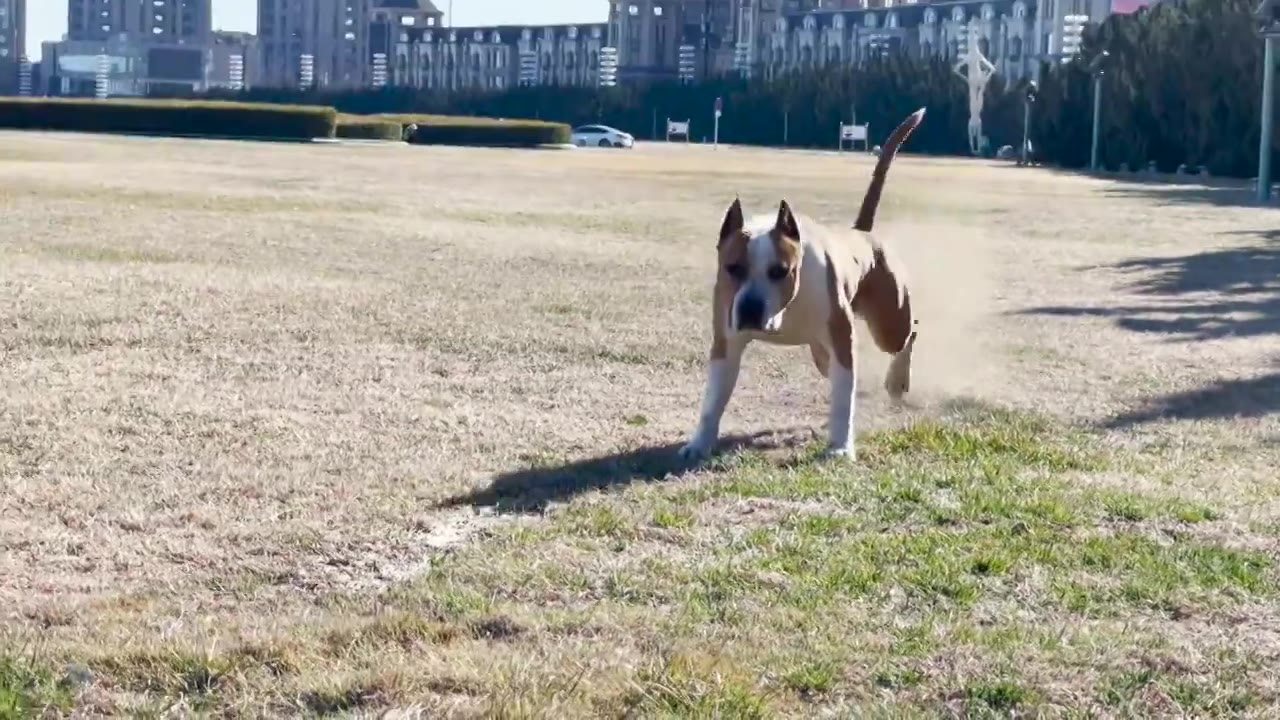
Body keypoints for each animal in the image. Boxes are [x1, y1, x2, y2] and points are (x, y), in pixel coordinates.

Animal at [675, 106, 926, 458]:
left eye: (780, 271)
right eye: (732, 268)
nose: (750, 308)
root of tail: (862, 233)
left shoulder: (843, 342)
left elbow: (843, 399)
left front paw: (841, 447)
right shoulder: (726, 343)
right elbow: (712, 401)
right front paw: (699, 444)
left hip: (889, 325)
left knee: (908, 334)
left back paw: (897, 381)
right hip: (821, 352)